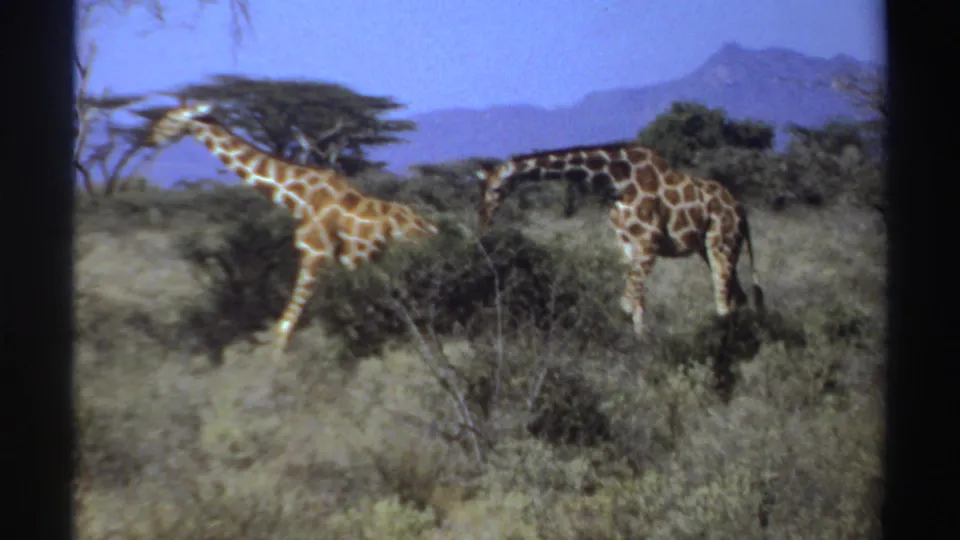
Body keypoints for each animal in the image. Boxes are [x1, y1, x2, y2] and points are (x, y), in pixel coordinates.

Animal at [142, 99, 439, 359]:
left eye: (170, 117)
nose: (151, 139)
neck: (301, 198)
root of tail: (433, 228)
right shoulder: (336, 264)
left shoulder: (315, 254)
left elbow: (285, 325)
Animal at [474, 141, 764, 336]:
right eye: (481, 190)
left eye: (496, 189)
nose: (483, 221)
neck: (617, 180)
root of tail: (741, 209)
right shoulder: (627, 245)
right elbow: (636, 304)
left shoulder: (648, 243)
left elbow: (627, 303)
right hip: (712, 247)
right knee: (738, 297)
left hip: (721, 243)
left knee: (723, 301)